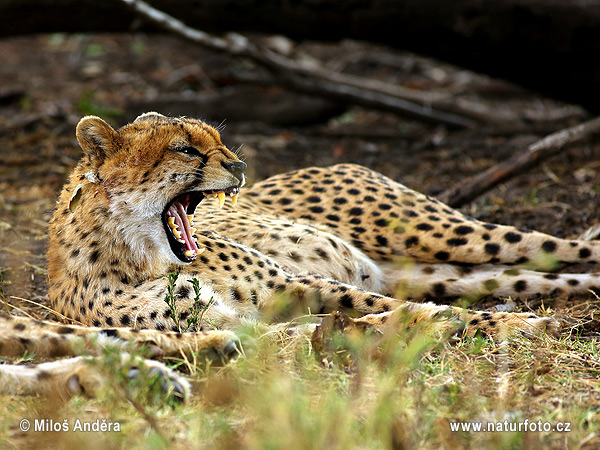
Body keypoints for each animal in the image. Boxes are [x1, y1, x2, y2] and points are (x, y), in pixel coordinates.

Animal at [2, 111, 596, 400]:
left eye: (217, 140)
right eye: (185, 149)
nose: (239, 164)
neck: (142, 255)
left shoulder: (291, 285)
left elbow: (364, 305)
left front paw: (504, 328)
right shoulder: (232, 320)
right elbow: (325, 324)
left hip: (446, 233)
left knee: (560, 246)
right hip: (443, 268)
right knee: (525, 277)